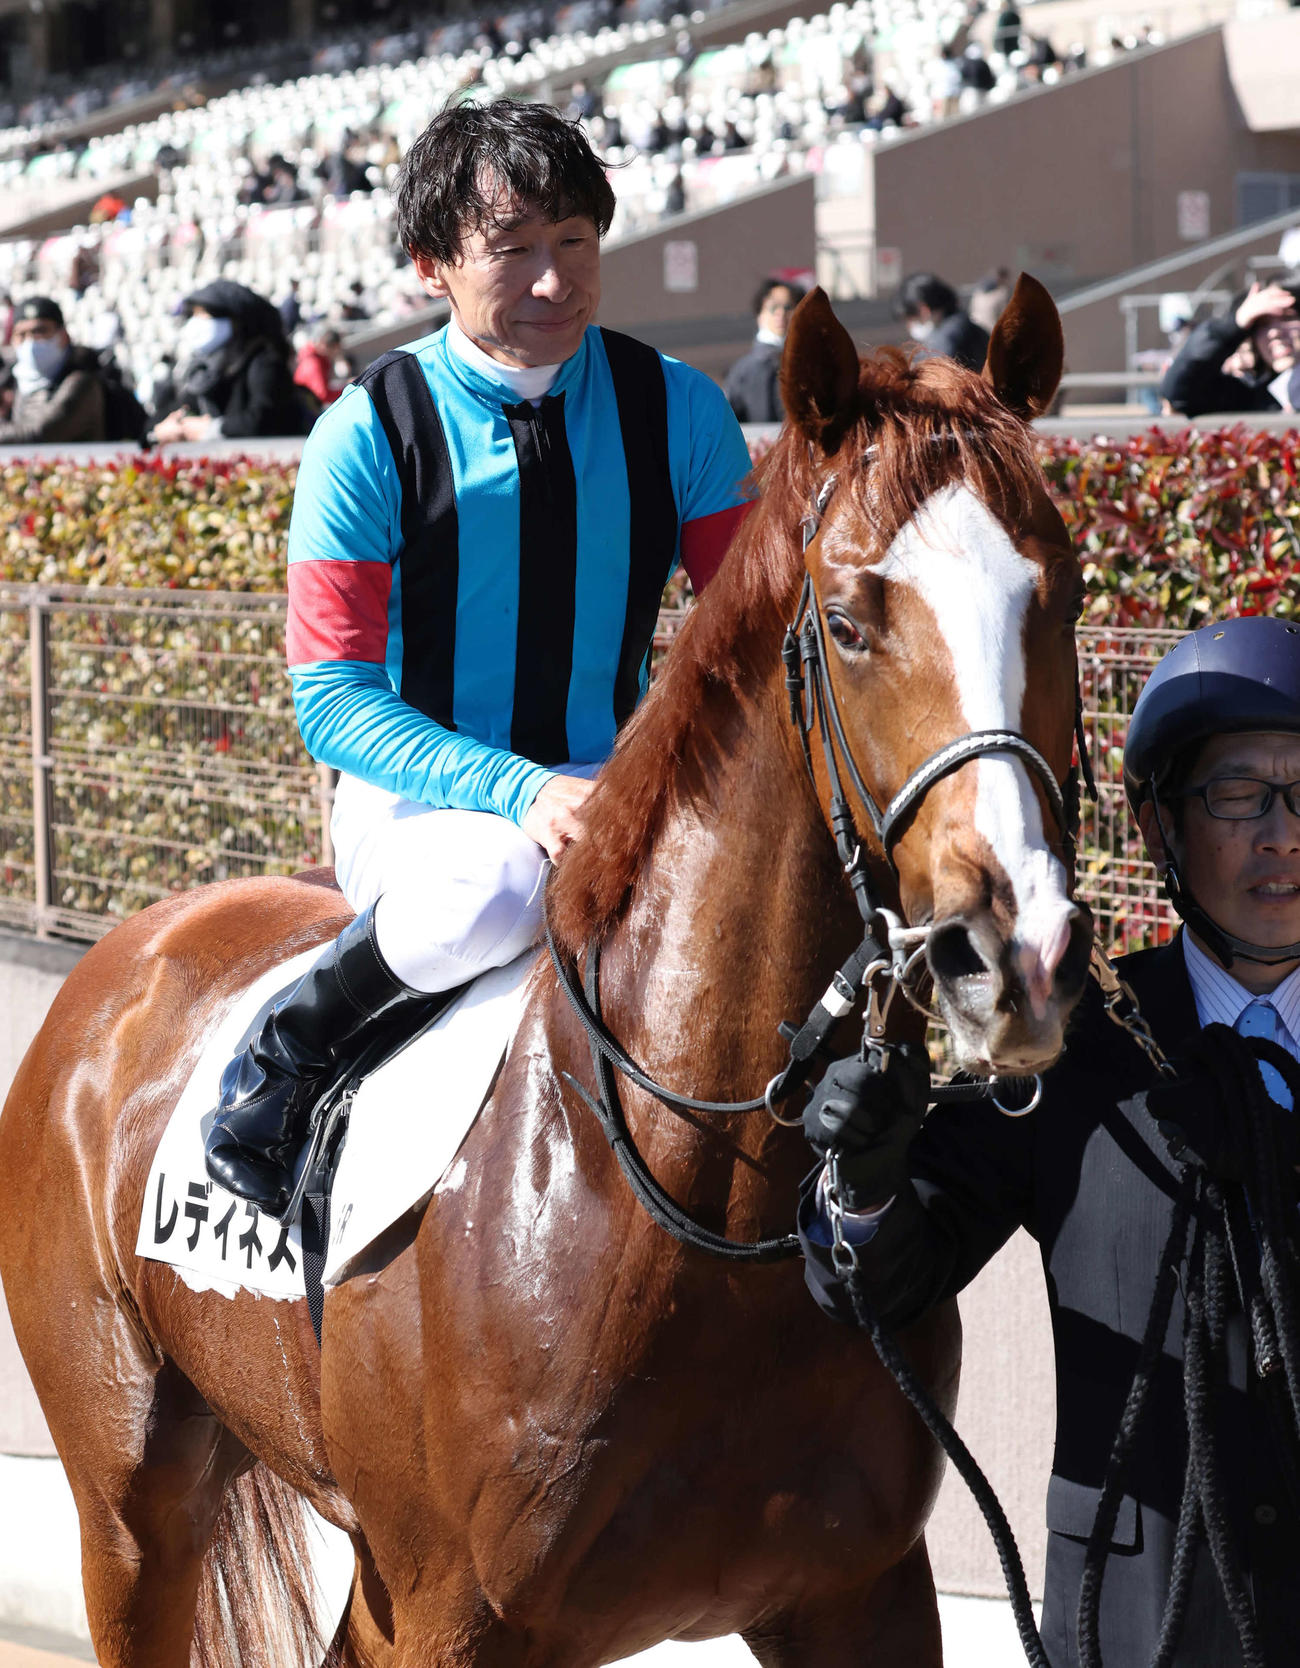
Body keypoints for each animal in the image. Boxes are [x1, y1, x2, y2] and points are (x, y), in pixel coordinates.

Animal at [0, 277, 1091, 1668]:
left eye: (1065, 593)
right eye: (847, 624)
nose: (1013, 951)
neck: (698, 1201)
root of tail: (130, 954)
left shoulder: (861, 1594)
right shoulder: (452, 1611)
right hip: (133, 1506)